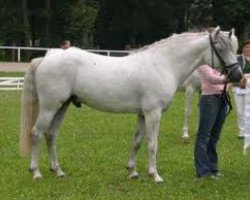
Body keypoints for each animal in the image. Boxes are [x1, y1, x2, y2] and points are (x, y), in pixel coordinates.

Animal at [20, 27, 242, 183]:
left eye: (234, 49)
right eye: (220, 48)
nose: (238, 75)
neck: (163, 63)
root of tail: (46, 57)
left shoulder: (143, 114)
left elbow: (136, 141)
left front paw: (132, 171)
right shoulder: (153, 113)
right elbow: (152, 144)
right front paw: (155, 175)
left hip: (62, 106)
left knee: (51, 135)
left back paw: (58, 171)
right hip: (49, 107)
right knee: (37, 133)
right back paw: (36, 172)